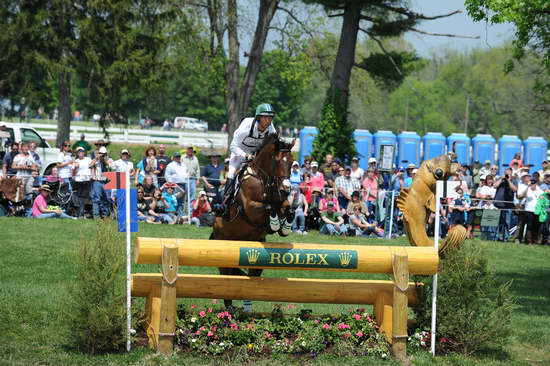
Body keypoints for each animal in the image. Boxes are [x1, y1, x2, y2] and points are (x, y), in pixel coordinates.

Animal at [211, 133, 298, 308]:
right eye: (277, 161)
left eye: (292, 162)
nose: (286, 189)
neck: (264, 179)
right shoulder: (250, 208)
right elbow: (268, 207)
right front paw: (274, 225)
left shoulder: (281, 202)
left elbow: (289, 209)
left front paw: (284, 228)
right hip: (225, 248)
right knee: (226, 275)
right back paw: (230, 309)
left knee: (252, 278)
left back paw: (246, 308)